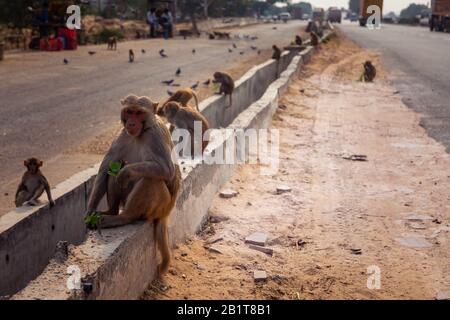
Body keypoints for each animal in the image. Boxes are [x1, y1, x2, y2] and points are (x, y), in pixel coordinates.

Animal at [86, 94, 181, 276]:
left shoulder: (155, 135)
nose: (131, 123)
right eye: (129, 112)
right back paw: (111, 212)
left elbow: (166, 169)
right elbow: (106, 168)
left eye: (139, 113)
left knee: (151, 180)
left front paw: (126, 172)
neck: (141, 132)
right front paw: (89, 213)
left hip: (160, 206)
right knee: (113, 171)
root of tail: (167, 212)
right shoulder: (122, 135)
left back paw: (123, 217)